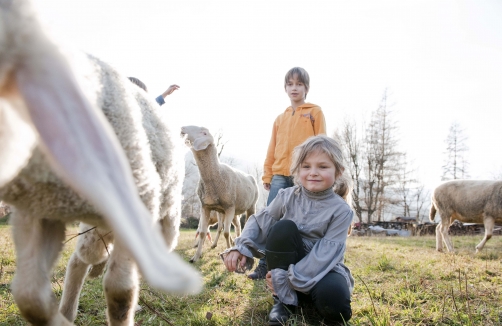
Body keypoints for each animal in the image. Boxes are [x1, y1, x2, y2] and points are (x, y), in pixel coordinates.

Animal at [0, 1, 200, 324]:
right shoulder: (37, 212)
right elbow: (29, 296)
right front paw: (59, 317)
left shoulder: (140, 205)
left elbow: (119, 291)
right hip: (95, 228)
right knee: (82, 259)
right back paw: (74, 300)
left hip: (158, 223)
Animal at [180, 125, 258, 262]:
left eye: (203, 132)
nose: (182, 127)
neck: (216, 174)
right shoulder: (205, 206)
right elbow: (202, 232)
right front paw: (196, 256)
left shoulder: (229, 206)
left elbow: (226, 233)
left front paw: (228, 251)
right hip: (229, 212)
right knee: (235, 227)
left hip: (250, 206)